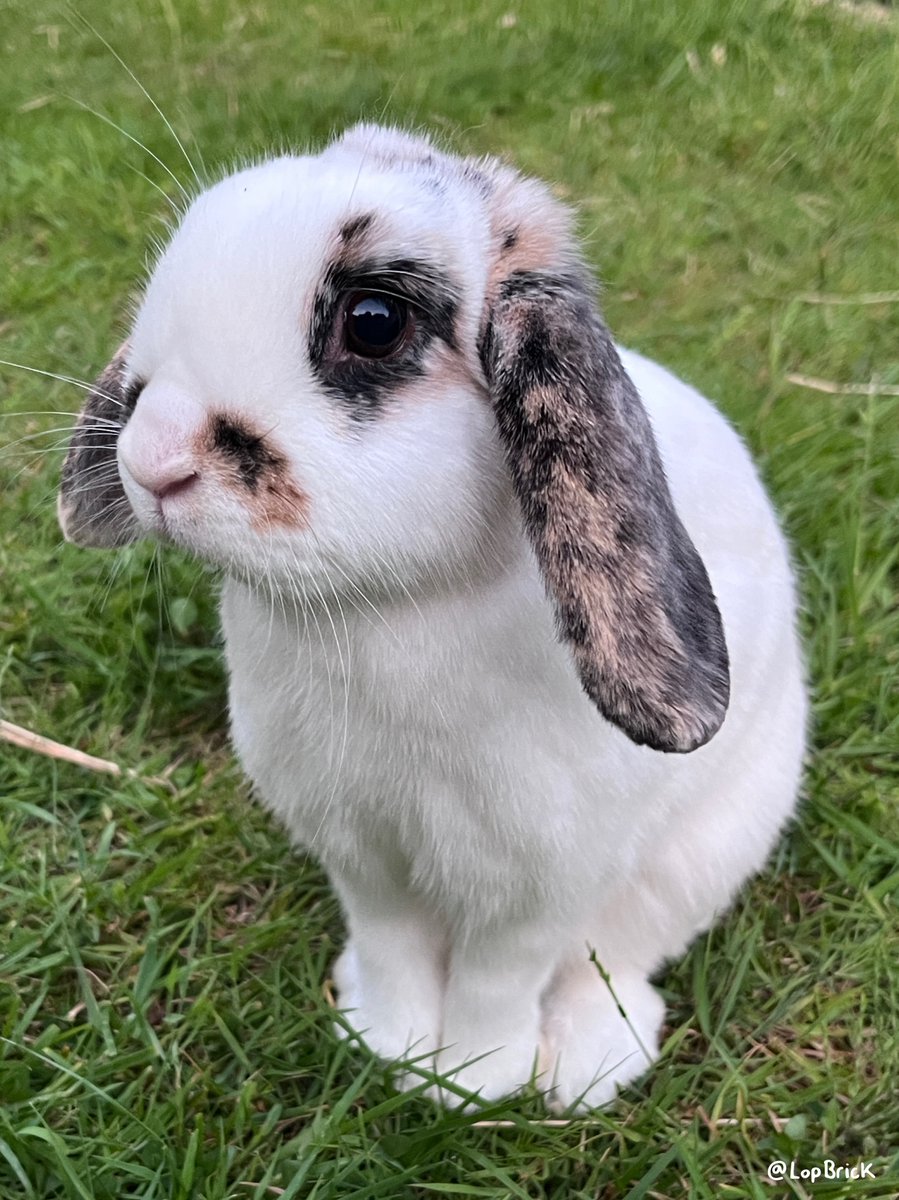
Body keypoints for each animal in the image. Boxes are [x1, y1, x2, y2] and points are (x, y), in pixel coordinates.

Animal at [57, 124, 807, 1111]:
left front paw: (471, 1085)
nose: (152, 461)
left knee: (612, 963)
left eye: (374, 321)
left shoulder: (533, 884)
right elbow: (393, 948)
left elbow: (498, 979)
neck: (383, 612)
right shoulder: (360, 855)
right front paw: (387, 1043)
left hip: (691, 863)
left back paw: (584, 1067)